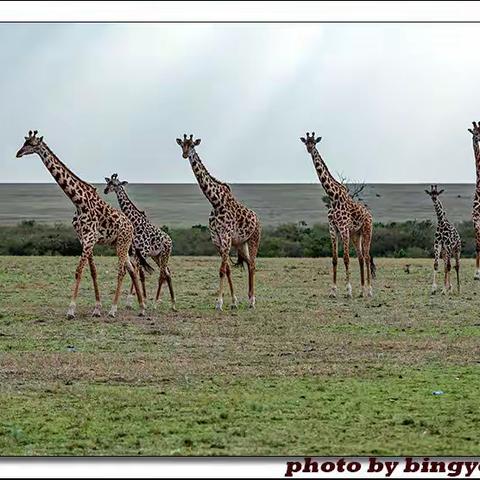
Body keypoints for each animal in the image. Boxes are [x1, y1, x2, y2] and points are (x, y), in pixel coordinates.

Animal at [15, 131, 146, 318]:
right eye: (24, 141)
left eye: (32, 144)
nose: (18, 153)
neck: (78, 201)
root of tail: (131, 226)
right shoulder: (84, 239)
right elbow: (92, 272)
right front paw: (97, 308)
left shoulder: (90, 238)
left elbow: (78, 271)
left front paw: (71, 310)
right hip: (120, 245)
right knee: (132, 270)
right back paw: (142, 307)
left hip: (122, 243)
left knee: (122, 271)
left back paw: (113, 309)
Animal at [103, 174, 176, 310]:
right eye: (108, 182)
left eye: (116, 184)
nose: (105, 190)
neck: (136, 223)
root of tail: (170, 240)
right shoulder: (137, 253)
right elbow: (138, 274)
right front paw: (141, 300)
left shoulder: (143, 252)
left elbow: (137, 273)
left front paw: (131, 301)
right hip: (156, 256)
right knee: (167, 273)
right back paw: (173, 304)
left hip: (165, 254)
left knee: (162, 275)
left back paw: (156, 303)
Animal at [175, 133, 260, 310]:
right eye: (182, 145)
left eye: (192, 145)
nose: (185, 154)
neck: (215, 201)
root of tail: (257, 218)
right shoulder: (217, 238)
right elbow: (226, 270)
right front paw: (233, 301)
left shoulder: (225, 236)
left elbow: (222, 270)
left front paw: (219, 303)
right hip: (240, 243)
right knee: (249, 263)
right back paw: (248, 298)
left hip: (254, 239)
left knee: (253, 265)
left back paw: (252, 301)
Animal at [300, 131, 376, 296]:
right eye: (306, 142)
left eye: (314, 142)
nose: (309, 148)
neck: (332, 197)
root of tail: (369, 215)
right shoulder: (332, 228)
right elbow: (335, 258)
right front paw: (333, 291)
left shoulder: (343, 227)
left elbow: (346, 258)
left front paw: (348, 290)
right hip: (356, 234)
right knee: (361, 257)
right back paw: (362, 290)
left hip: (367, 230)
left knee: (367, 257)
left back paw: (369, 290)